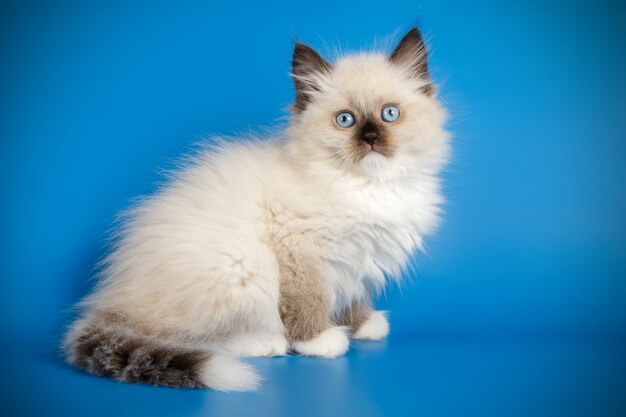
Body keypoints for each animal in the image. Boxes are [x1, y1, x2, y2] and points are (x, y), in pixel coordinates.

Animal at [62, 26, 448, 390]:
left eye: (389, 114)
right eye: (345, 121)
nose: (369, 138)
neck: (367, 187)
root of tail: (114, 301)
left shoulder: (357, 259)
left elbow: (354, 296)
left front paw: (363, 324)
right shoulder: (299, 251)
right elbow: (309, 301)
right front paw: (320, 340)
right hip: (244, 267)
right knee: (191, 337)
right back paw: (266, 342)